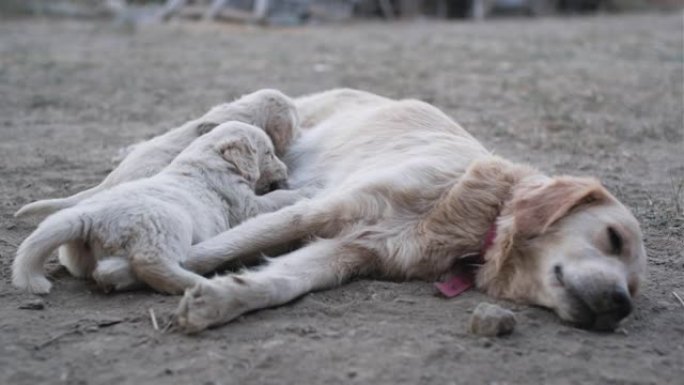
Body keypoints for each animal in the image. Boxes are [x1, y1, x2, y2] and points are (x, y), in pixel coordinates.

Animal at [10, 121, 304, 292]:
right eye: (269, 153)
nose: (285, 169)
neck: (209, 157)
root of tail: (90, 216)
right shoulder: (243, 204)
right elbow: (272, 200)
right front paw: (299, 192)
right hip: (165, 225)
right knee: (152, 264)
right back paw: (198, 284)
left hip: (79, 255)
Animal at [171, 88, 648, 332]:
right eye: (613, 238)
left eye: (634, 287)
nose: (621, 306)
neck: (480, 216)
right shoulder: (323, 208)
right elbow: (212, 250)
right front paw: (158, 271)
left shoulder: (352, 251)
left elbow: (282, 282)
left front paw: (219, 300)